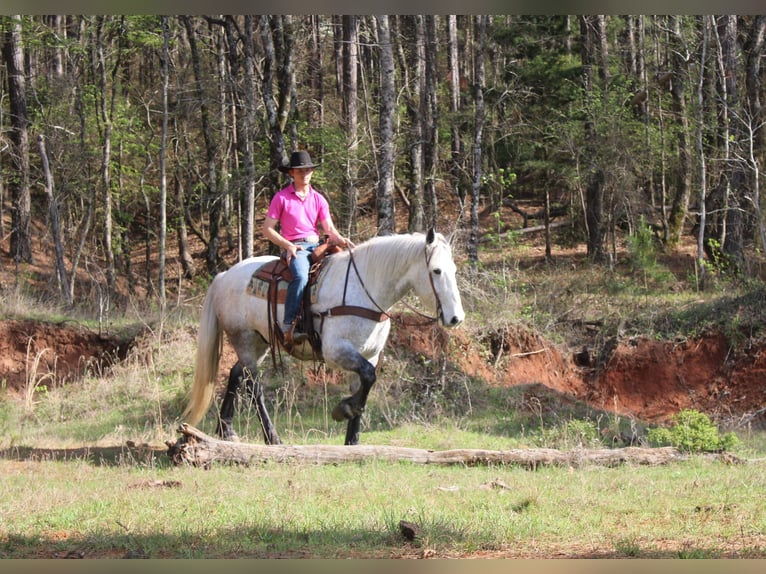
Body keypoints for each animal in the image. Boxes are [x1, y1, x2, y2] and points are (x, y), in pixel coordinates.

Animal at [181, 228, 465, 445]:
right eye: (436, 271)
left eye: (454, 269)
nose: (455, 318)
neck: (365, 289)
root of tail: (223, 276)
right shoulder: (335, 351)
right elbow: (367, 379)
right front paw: (344, 409)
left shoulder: (369, 354)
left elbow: (365, 383)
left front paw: (352, 441)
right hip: (245, 339)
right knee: (254, 386)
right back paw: (272, 437)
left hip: (259, 342)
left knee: (236, 375)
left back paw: (226, 430)